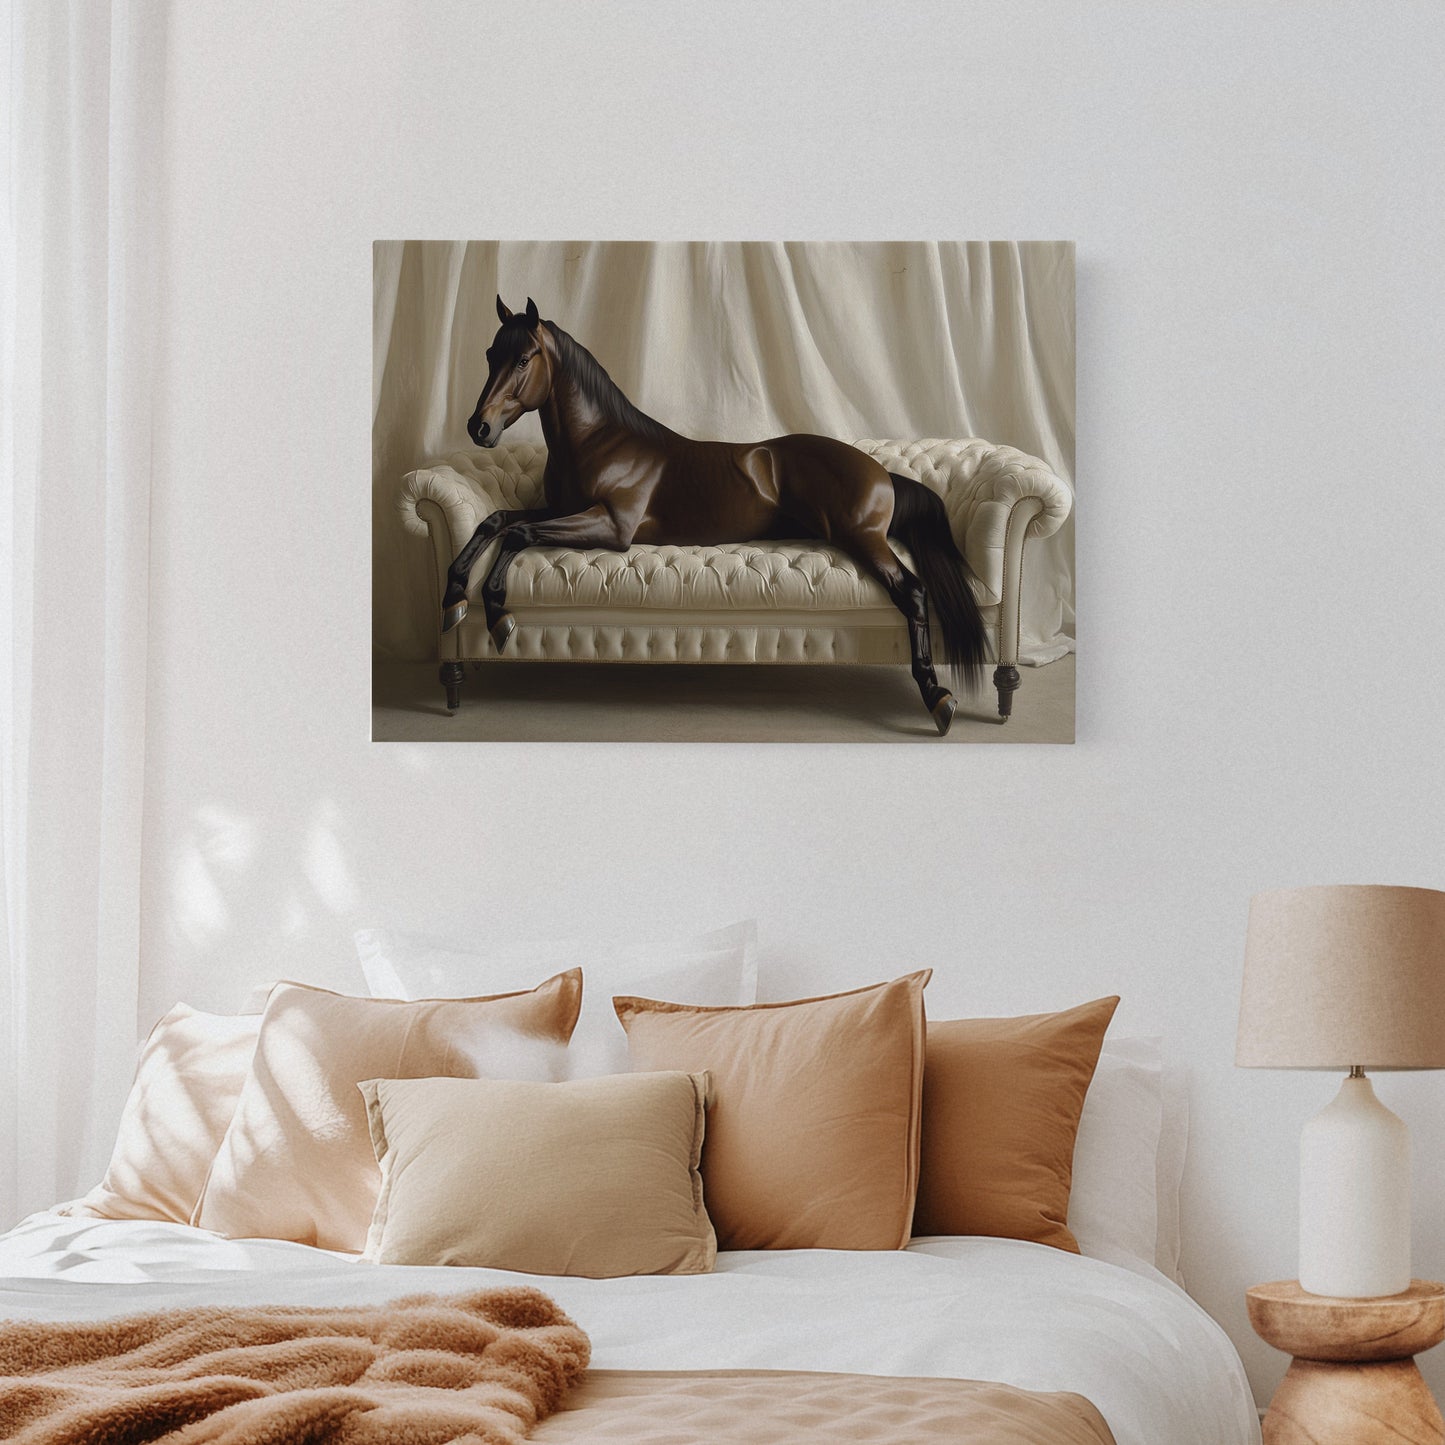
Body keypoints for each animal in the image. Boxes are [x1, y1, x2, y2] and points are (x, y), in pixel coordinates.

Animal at [440, 296, 986, 734]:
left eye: (523, 359)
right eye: (490, 355)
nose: (478, 427)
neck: (601, 442)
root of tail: (879, 470)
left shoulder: (611, 526)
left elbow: (519, 533)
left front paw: (498, 614)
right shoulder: (563, 509)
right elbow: (496, 520)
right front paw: (454, 597)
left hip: (863, 538)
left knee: (911, 591)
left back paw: (938, 697)